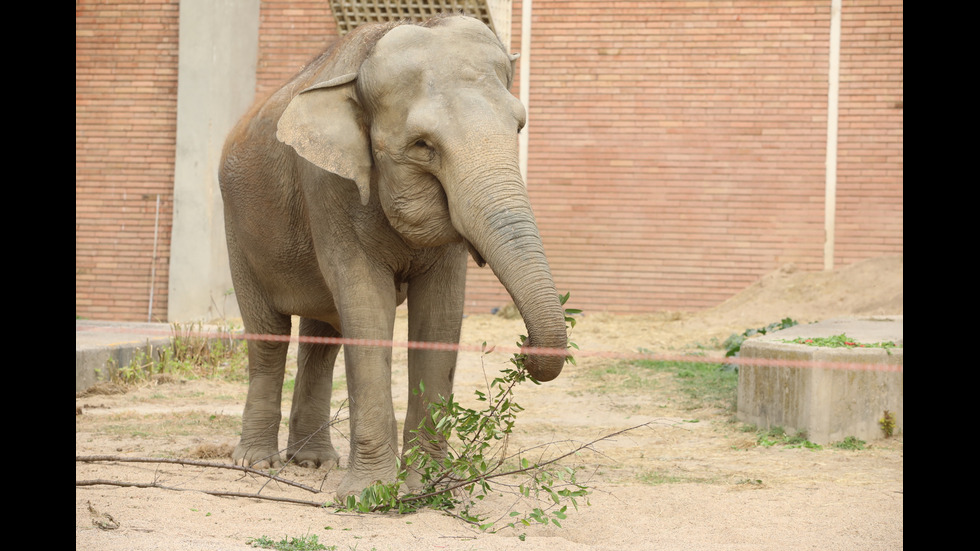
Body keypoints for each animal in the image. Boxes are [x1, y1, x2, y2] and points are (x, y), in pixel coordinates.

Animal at [216, 14, 568, 500]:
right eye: (422, 145)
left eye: (518, 127)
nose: (526, 350)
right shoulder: (328, 184)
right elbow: (366, 305)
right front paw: (369, 497)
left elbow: (441, 314)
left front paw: (430, 491)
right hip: (238, 231)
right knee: (268, 336)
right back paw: (256, 462)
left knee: (322, 339)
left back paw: (313, 462)